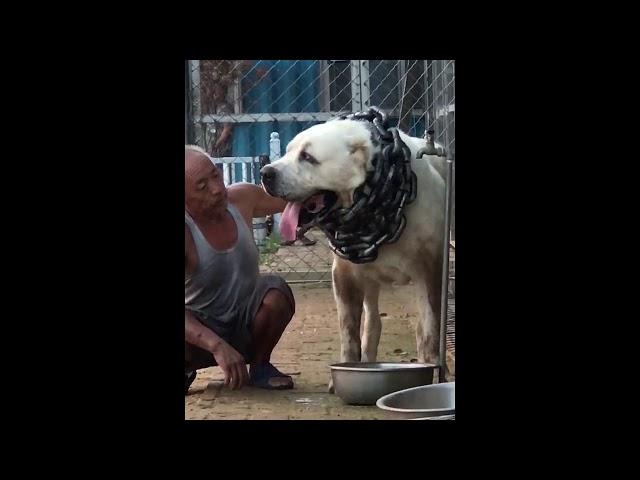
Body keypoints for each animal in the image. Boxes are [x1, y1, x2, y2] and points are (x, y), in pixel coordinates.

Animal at [260, 113, 450, 390]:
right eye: (287, 152)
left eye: (308, 157)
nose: (265, 172)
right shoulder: (345, 276)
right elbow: (349, 334)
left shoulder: (430, 272)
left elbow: (429, 330)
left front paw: (432, 371)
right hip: (367, 278)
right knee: (372, 323)